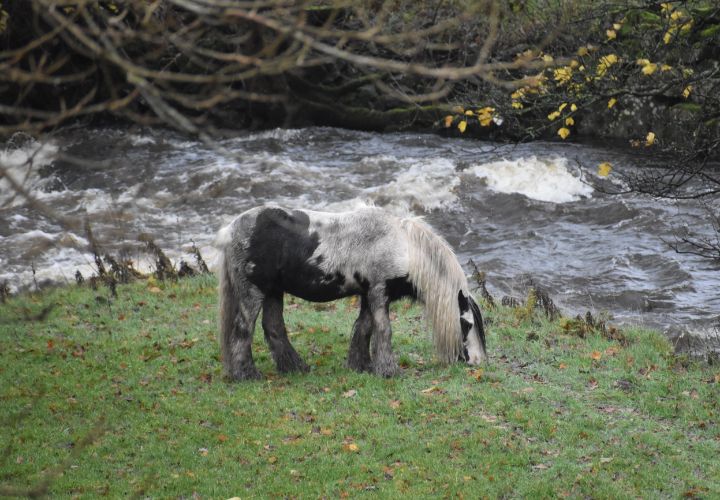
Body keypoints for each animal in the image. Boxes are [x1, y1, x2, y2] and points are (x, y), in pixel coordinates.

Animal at [214, 204, 484, 378]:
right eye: (467, 324)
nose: (477, 362)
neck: (403, 247)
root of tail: (230, 230)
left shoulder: (368, 294)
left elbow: (364, 329)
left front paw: (361, 366)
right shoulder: (379, 292)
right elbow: (383, 330)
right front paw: (389, 371)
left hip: (273, 291)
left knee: (273, 328)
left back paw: (295, 368)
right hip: (253, 291)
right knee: (243, 330)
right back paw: (246, 374)